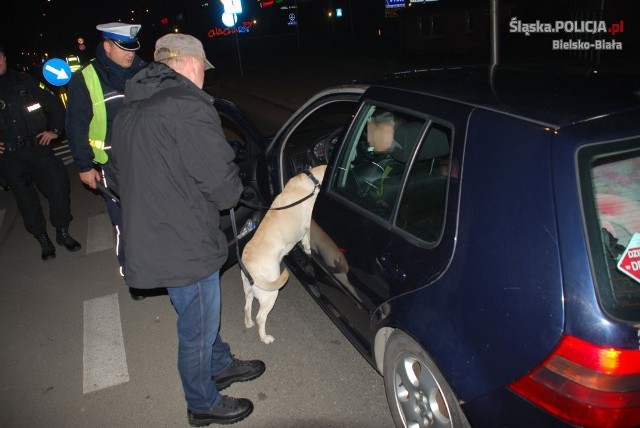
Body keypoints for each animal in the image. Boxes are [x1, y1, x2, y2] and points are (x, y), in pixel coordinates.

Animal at [242, 165, 328, 344]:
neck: (313, 181)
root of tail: (246, 263)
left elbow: (306, 239)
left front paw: (307, 248)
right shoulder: (309, 223)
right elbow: (309, 236)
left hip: (249, 291)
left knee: (246, 307)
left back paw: (248, 323)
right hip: (270, 293)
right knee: (260, 317)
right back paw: (265, 338)